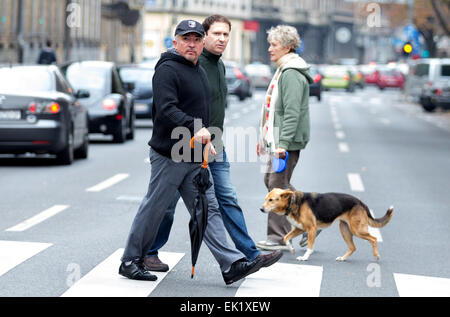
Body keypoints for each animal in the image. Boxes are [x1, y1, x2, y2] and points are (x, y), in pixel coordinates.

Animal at [260, 189, 394, 260]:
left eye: (271, 200)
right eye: (265, 199)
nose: (261, 209)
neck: (293, 202)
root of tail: (360, 202)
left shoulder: (311, 229)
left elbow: (309, 247)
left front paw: (305, 257)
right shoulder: (300, 229)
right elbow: (285, 238)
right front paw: (291, 249)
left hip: (356, 230)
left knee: (374, 239)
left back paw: (376, 255)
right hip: (344, 229)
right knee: (353, 247)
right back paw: (343, 258)